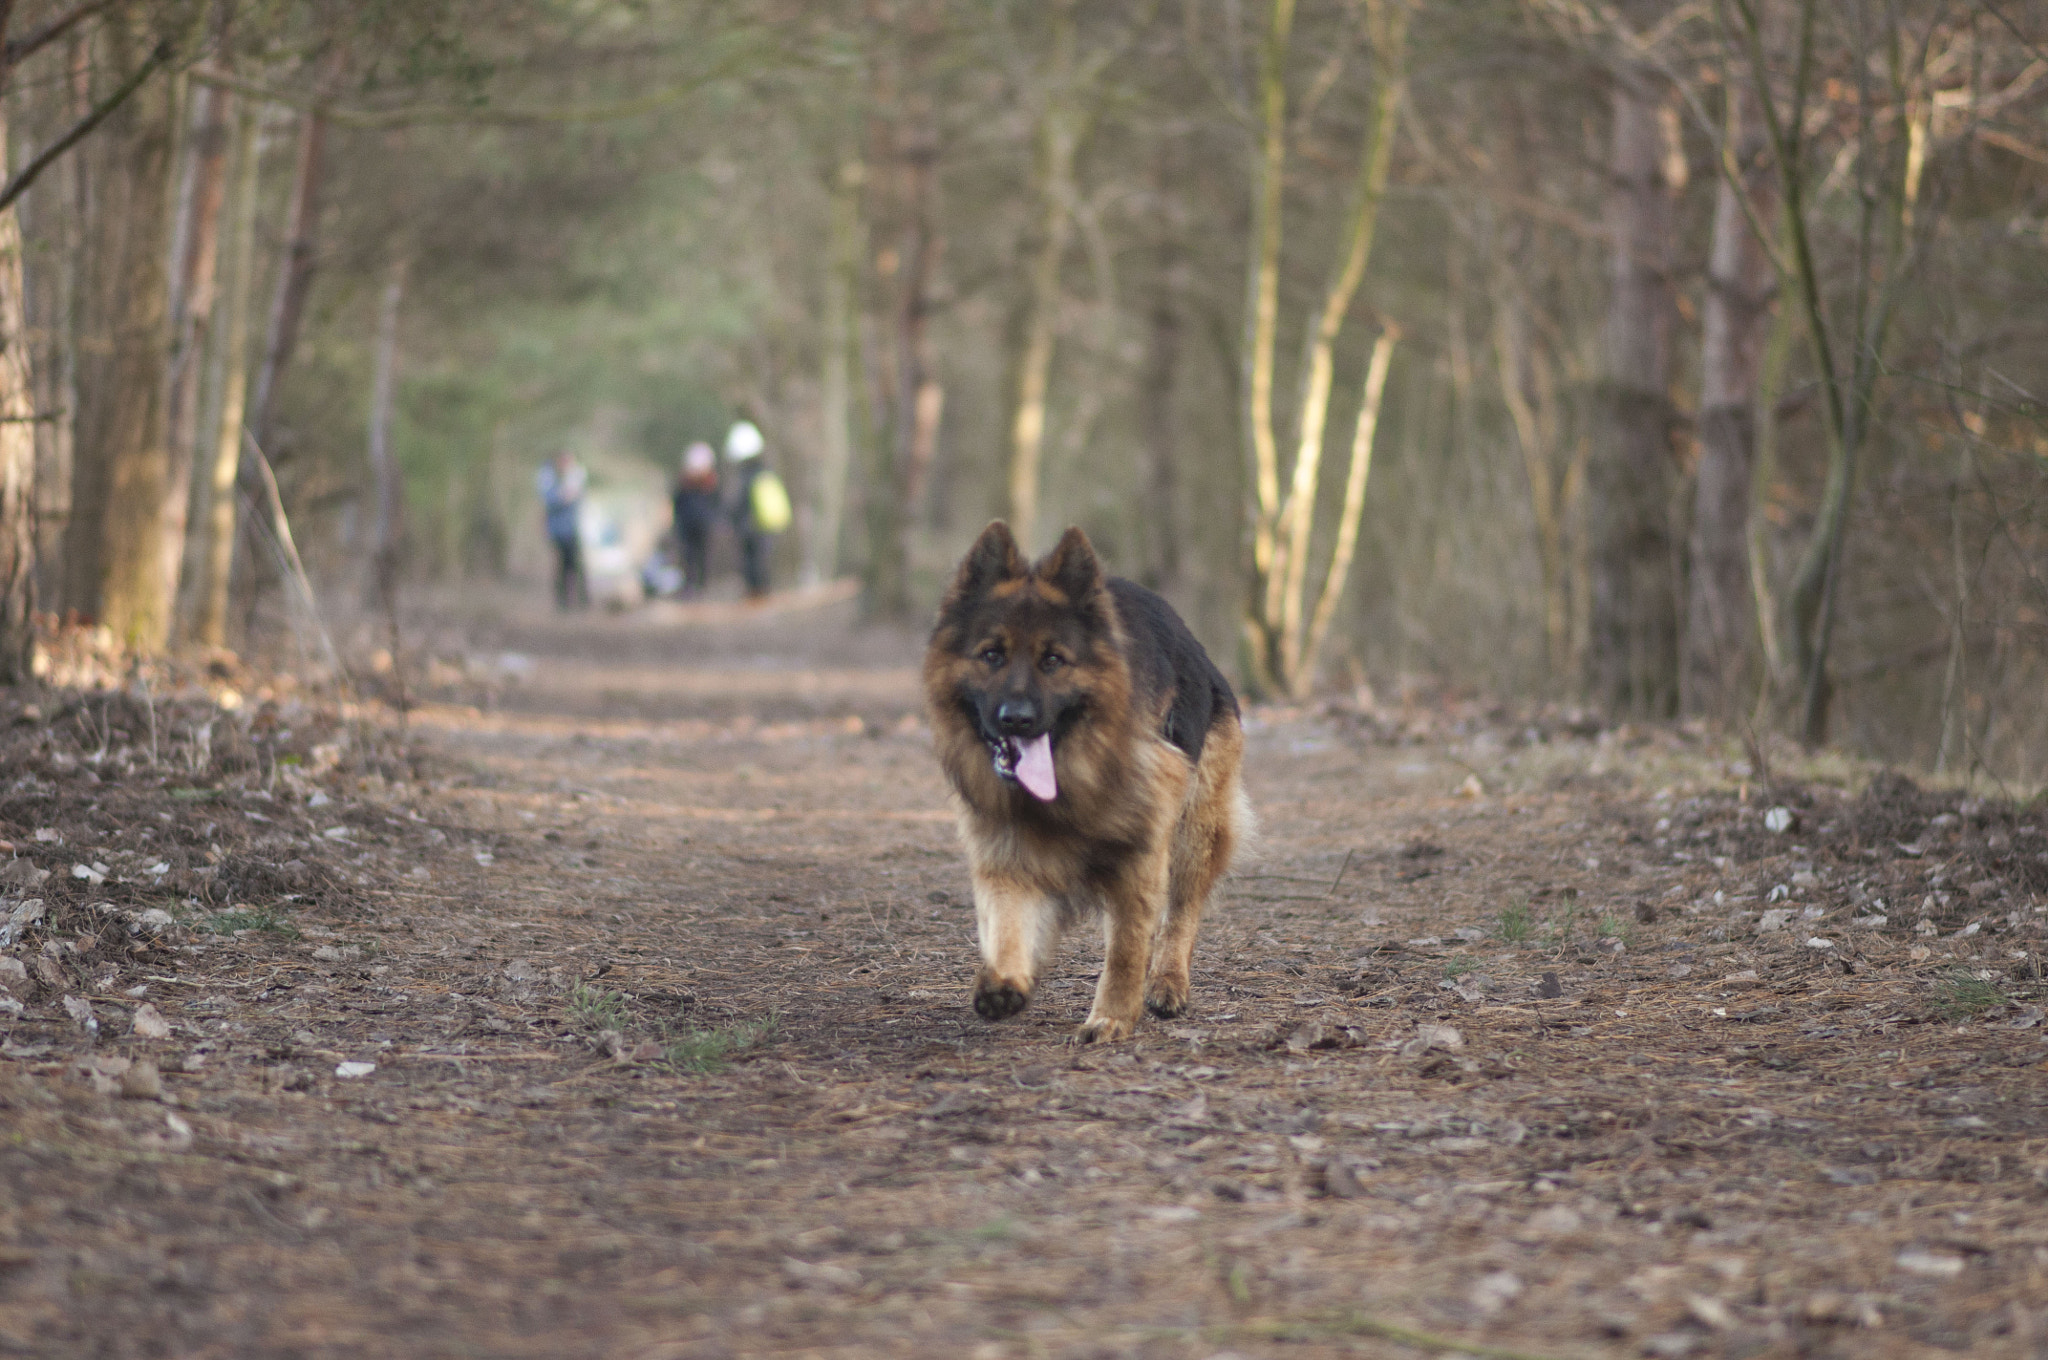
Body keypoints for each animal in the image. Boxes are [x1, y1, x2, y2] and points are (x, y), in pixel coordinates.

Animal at [929, 520, 1245, 1040]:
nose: (1016, 719)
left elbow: (1127, 948)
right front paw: (1005, 980)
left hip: (1195, 831)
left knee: (1181, 913)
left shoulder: (1140, 849)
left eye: (1053, 660)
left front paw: (1111, 1016)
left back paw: (1167, 982)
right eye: (992, 655)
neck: (1073, 776)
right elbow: (1006, 916)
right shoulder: (1005, 844)